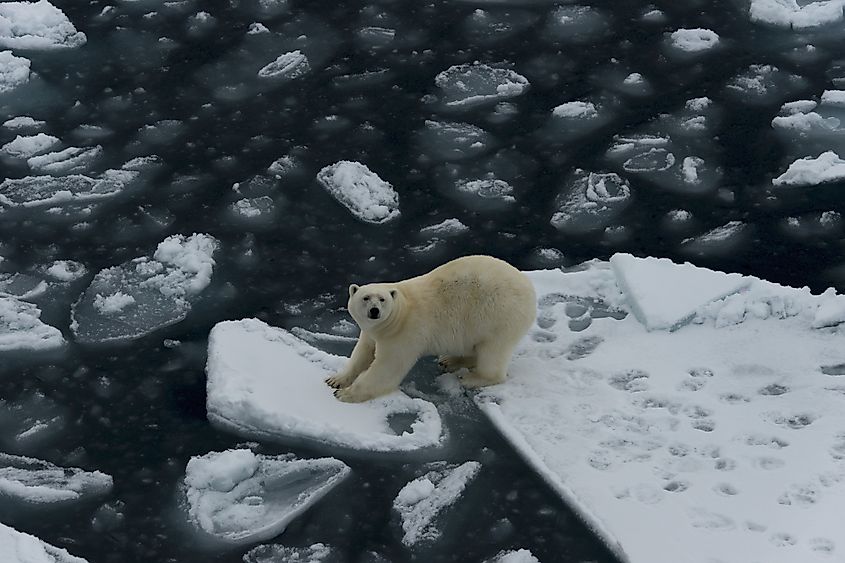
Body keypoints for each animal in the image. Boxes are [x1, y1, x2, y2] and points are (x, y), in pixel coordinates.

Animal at [324, 256, 536, 406]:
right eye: (366, 298)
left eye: (382, 299)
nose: (374, 311)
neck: (400, 313)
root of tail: (530, 290)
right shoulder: (372, 332)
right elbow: (362, 353)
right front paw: (336, 380)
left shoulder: (404, 333)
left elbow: (387, 367)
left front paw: (345, 393)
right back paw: (449, 360)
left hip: (498, 315)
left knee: (493, 352)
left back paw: (470, 378)